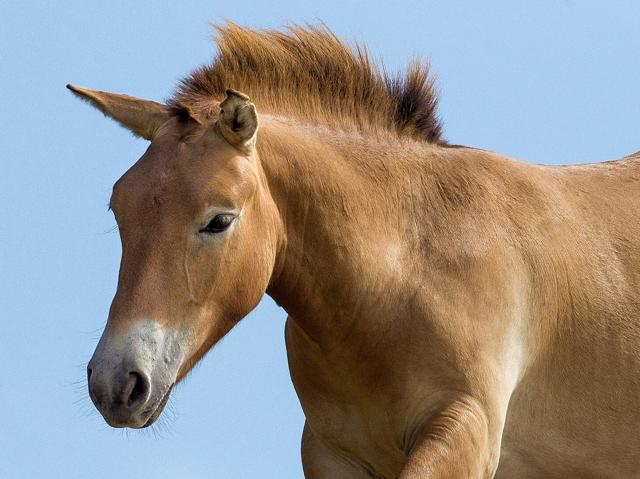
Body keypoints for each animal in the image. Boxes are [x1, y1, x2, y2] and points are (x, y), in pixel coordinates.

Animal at [70, 23, 640, 478]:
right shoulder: (332, 453)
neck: (404, 275)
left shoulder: (465, 430)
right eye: (119, 209)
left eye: (219, 220)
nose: (116, 383)